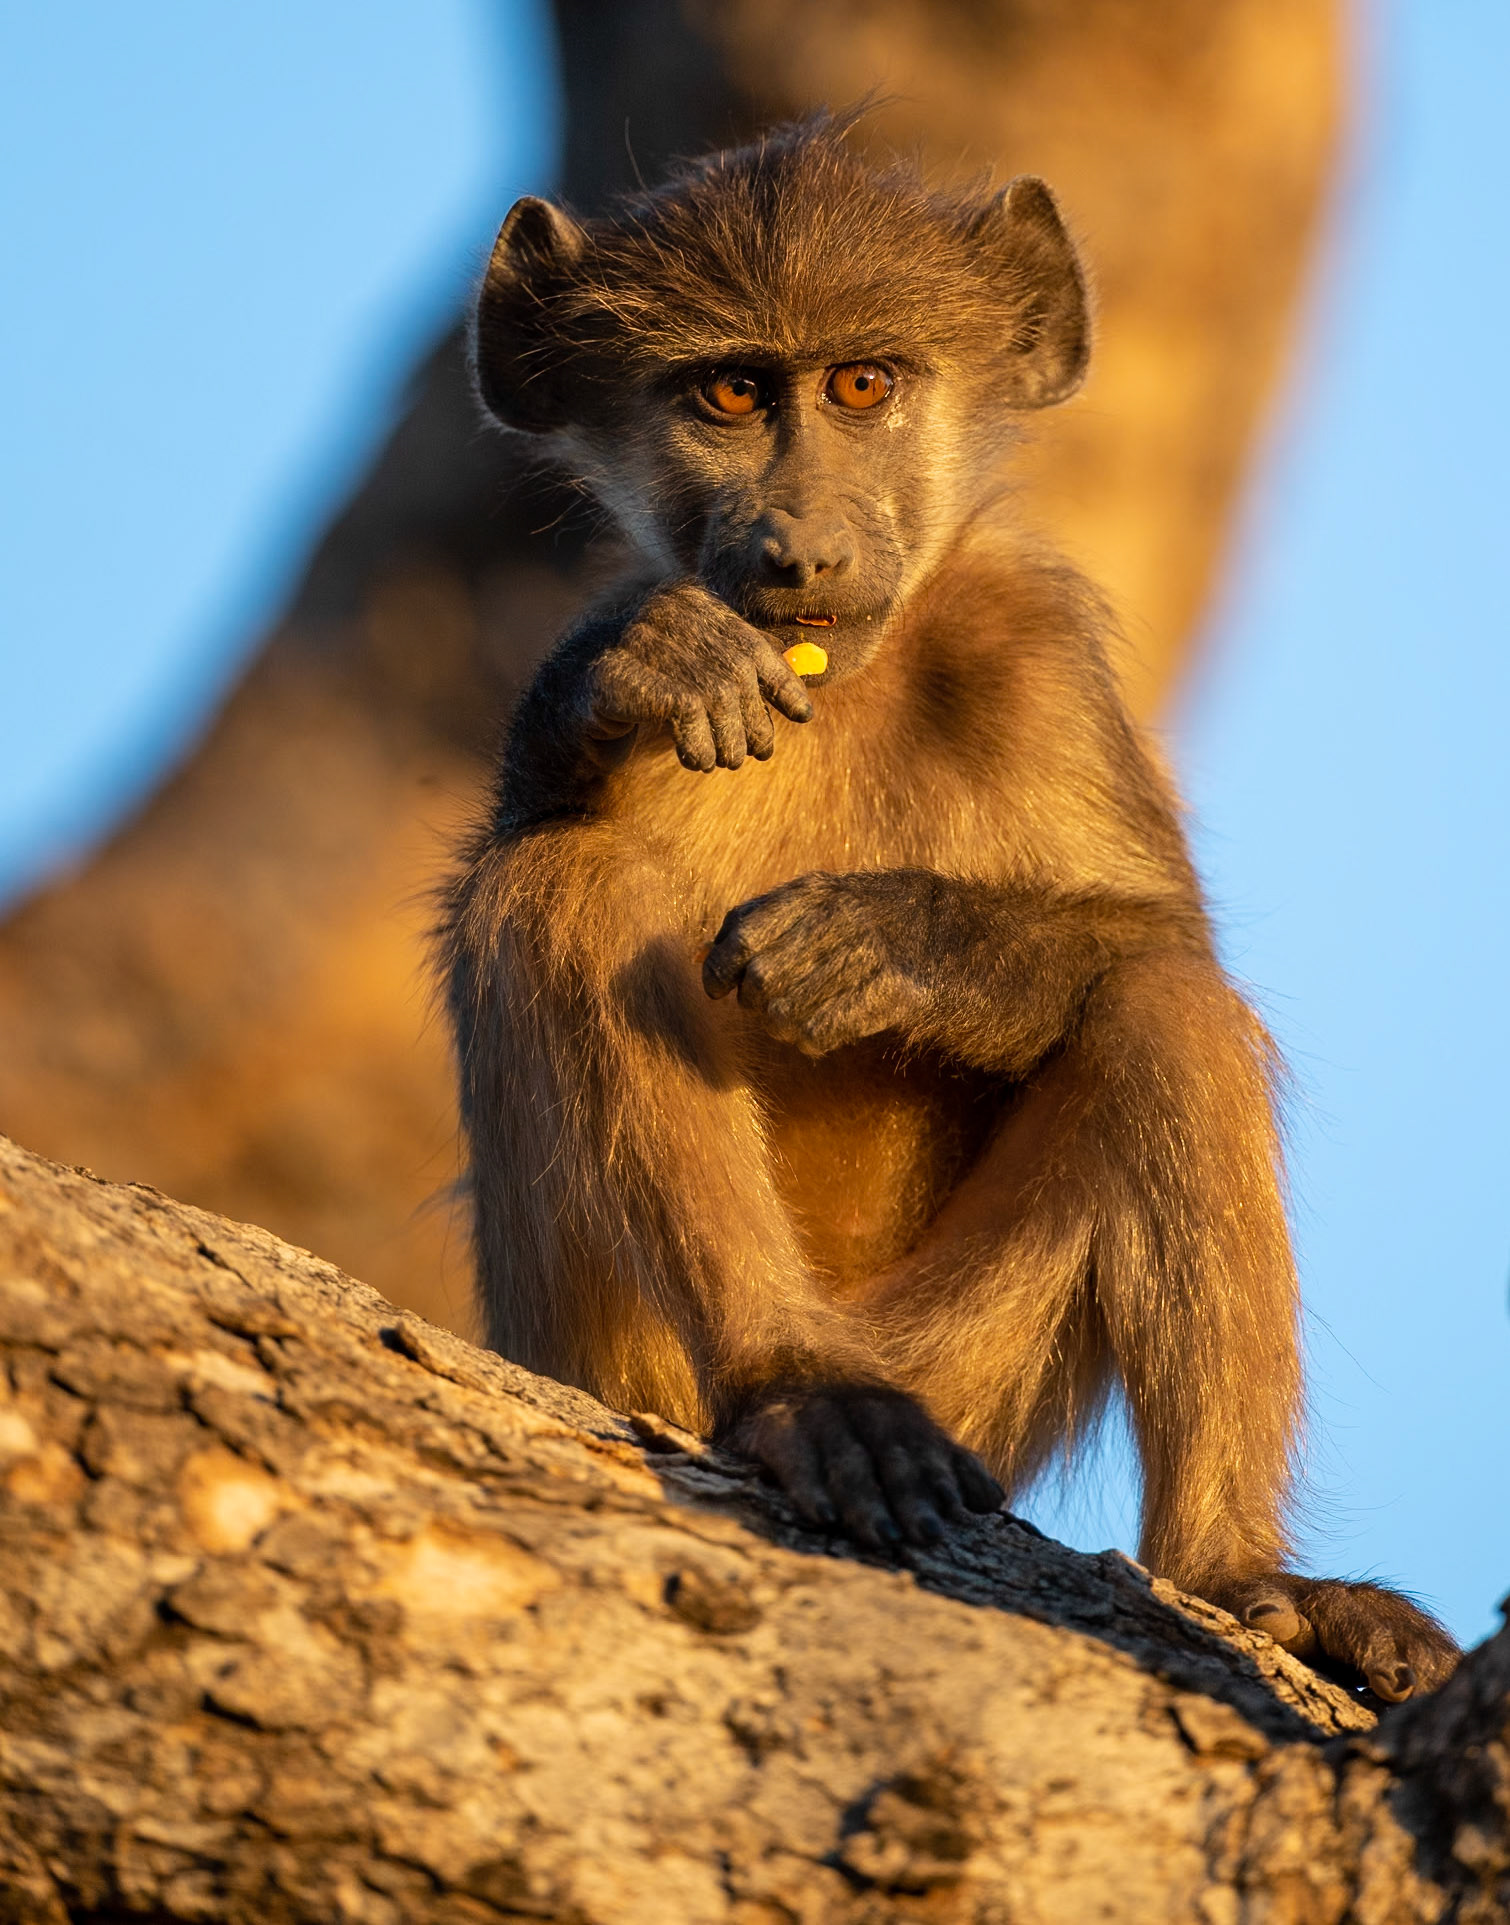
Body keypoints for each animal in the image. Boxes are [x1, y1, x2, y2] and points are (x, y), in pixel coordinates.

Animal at [442, 118, 1459, 1701]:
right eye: (730, 392)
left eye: (862, 384)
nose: (798, 548)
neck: (842, 684)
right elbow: (536, 822)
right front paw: (642, 676)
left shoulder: (1032, 644)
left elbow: (1162, 939)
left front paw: (904, 948)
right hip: (603, 1353)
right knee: (560, 886)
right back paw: (799, 1395)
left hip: (968, 1375)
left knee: (1167, 1013)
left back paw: (1240, 1573)